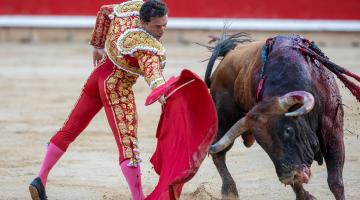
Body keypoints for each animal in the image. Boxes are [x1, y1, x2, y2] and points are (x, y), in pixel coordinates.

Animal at [205, 33, 360, 199]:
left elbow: (335, 181)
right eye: (262, 142)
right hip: (224, 119)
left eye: (288, 130)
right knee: (218, 154)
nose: (288, 176)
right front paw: (304, 194)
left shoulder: (333, 127)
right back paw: (229, 191)